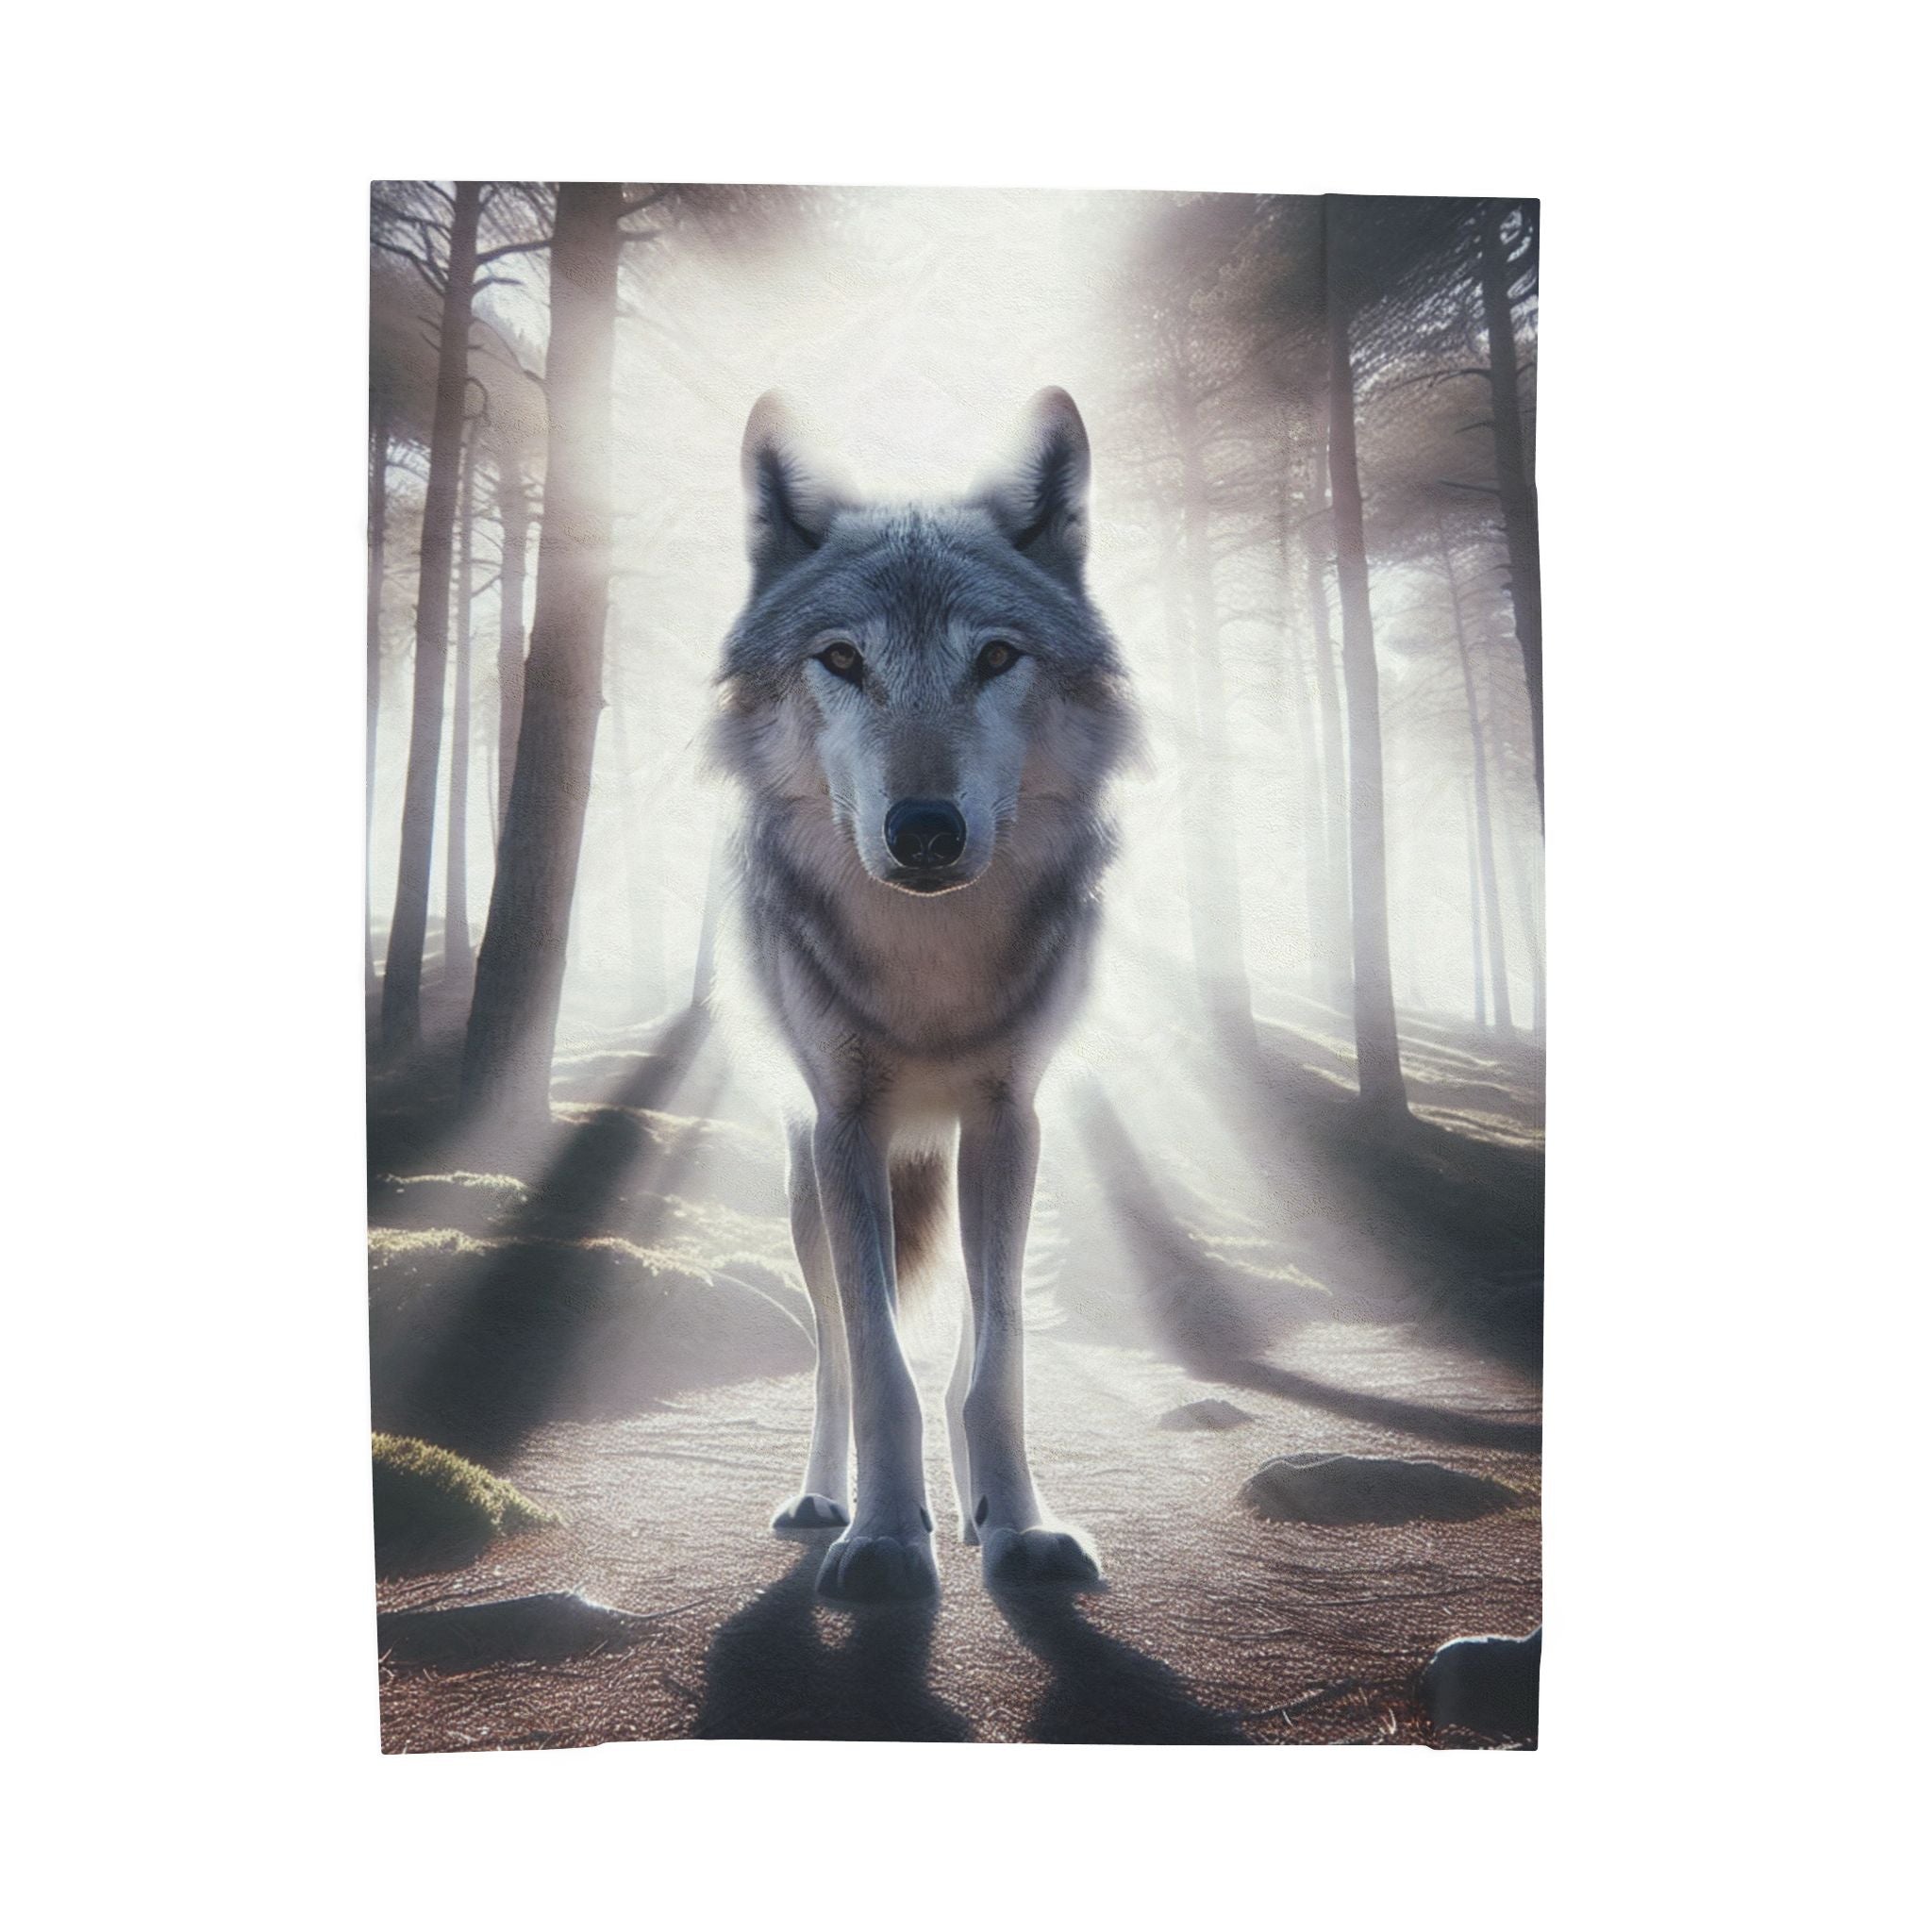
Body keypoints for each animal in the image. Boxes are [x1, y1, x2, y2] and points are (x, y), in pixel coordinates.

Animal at [708, 387, 1139, 1603]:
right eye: (841, 658)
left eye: (993, 655)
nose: (926, 829)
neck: (930, 965)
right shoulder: (846, 1124)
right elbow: (876, 1363)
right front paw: (885, 1538)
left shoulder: (1005, 1118)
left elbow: (992, 1360)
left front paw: (1017, 1525)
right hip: (804, 1180)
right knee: (831, 1353)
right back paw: (824, 1499)